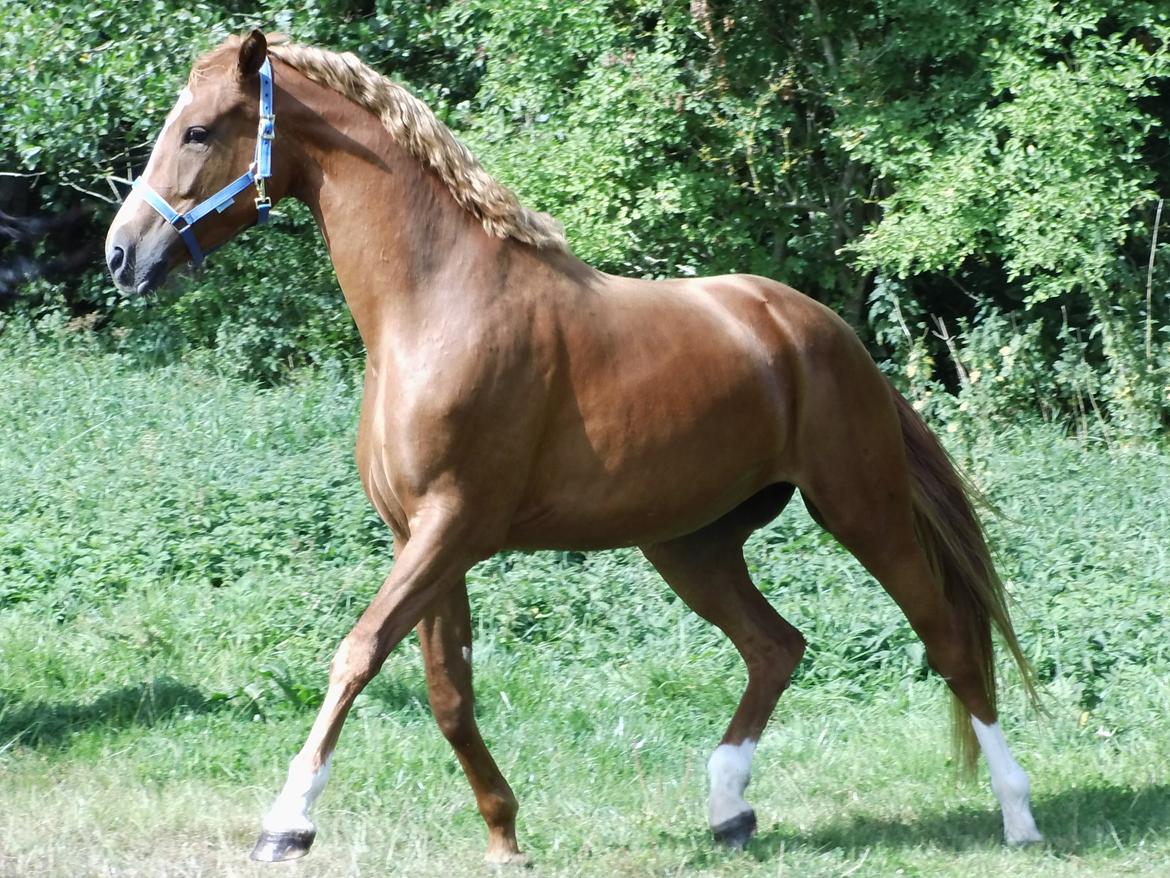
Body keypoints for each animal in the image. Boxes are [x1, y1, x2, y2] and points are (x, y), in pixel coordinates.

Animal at [105, 29, 1043, 866]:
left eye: (199, 131)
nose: (122, 255)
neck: (436, 304)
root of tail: (827, 334)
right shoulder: (424, 540)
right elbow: (449, 692)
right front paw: (503, 833)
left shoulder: (452, 528)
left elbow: (358, 654)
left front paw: (288, 823)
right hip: (692, 544)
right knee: (777, 647)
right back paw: (728, 810)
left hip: (860, 508)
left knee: (948, 641)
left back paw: (1018, 815)